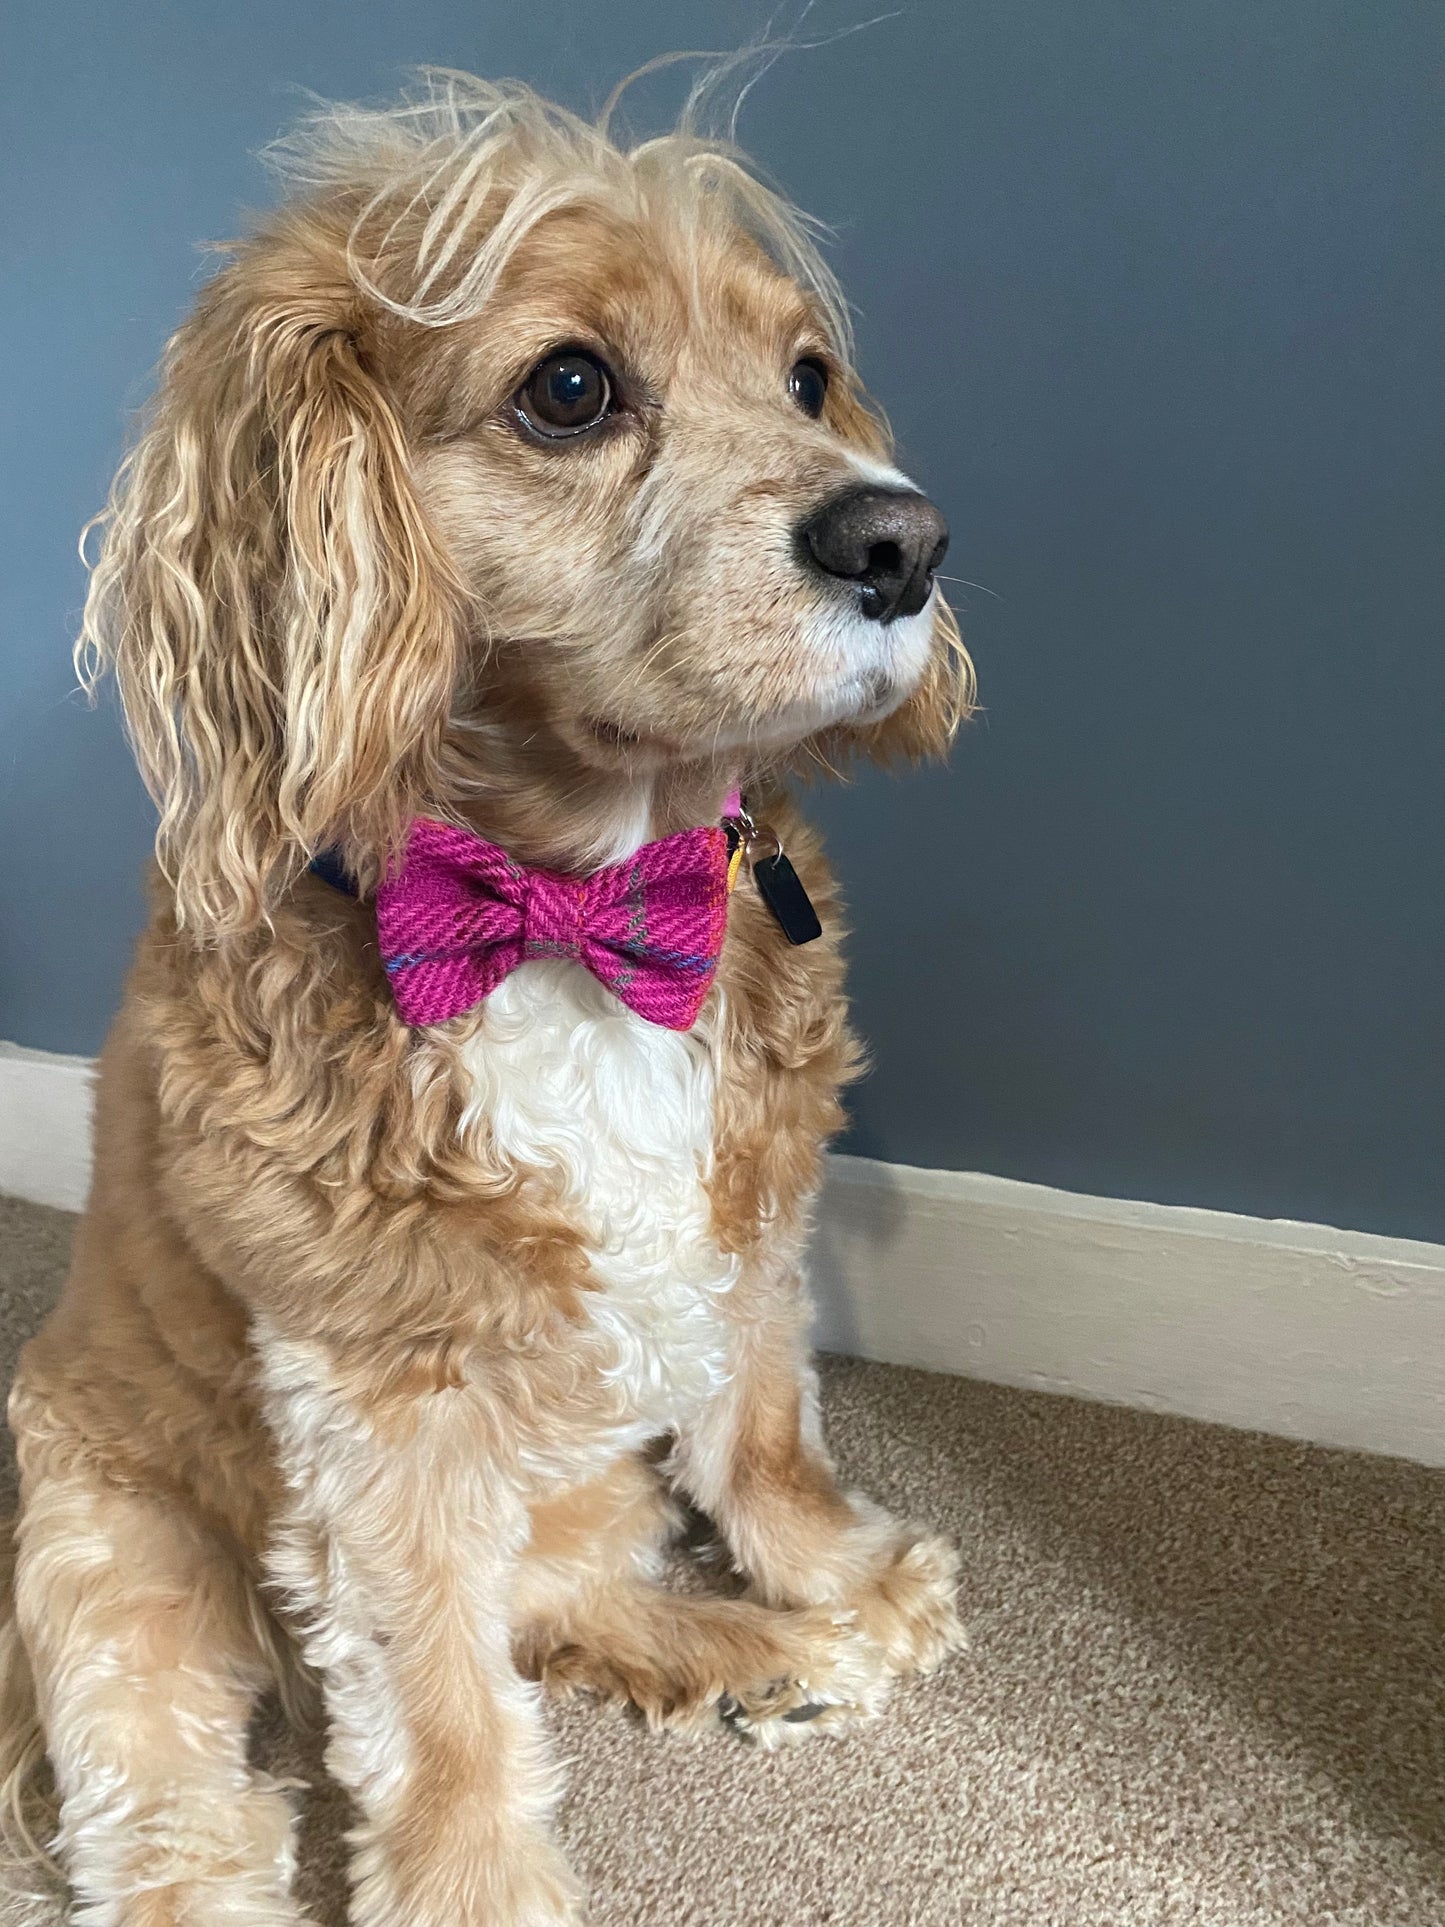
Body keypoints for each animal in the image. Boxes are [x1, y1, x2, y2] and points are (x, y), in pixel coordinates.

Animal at [2, 71, 974, 1927]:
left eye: (808, 376)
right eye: (569, 387)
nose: (902, 538)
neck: (573, 910)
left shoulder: (751, 1214)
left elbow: (760, 1418)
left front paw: (833, 1570)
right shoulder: (374, 1401)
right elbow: (439, 1698)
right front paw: (472, 1881)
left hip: (586, 1483)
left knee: (555, 1599)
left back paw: (763, 1649)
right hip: (113, 1553)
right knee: (178, 1823)